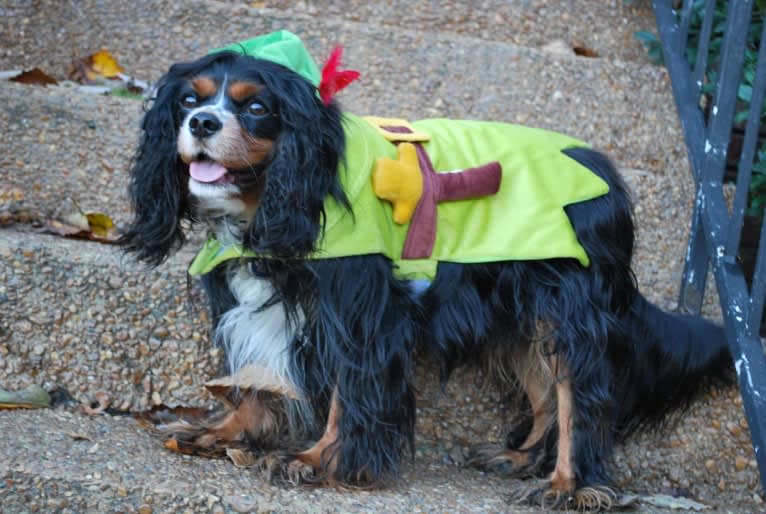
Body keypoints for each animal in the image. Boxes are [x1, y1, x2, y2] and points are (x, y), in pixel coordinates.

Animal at [120, 32, 732, 508]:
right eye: (188, 100)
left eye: (255, 108)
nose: (202, 122)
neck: (282, 193)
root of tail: (601, 169)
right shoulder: (251, 296)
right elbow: (251, 375)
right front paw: (222, 430)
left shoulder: (363, 309)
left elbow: (349, 390)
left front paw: (321, 460)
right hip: (521, 313)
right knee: (542, 389)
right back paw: (520, 457)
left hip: (570, 308)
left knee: (579, 395)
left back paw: (569, 484)